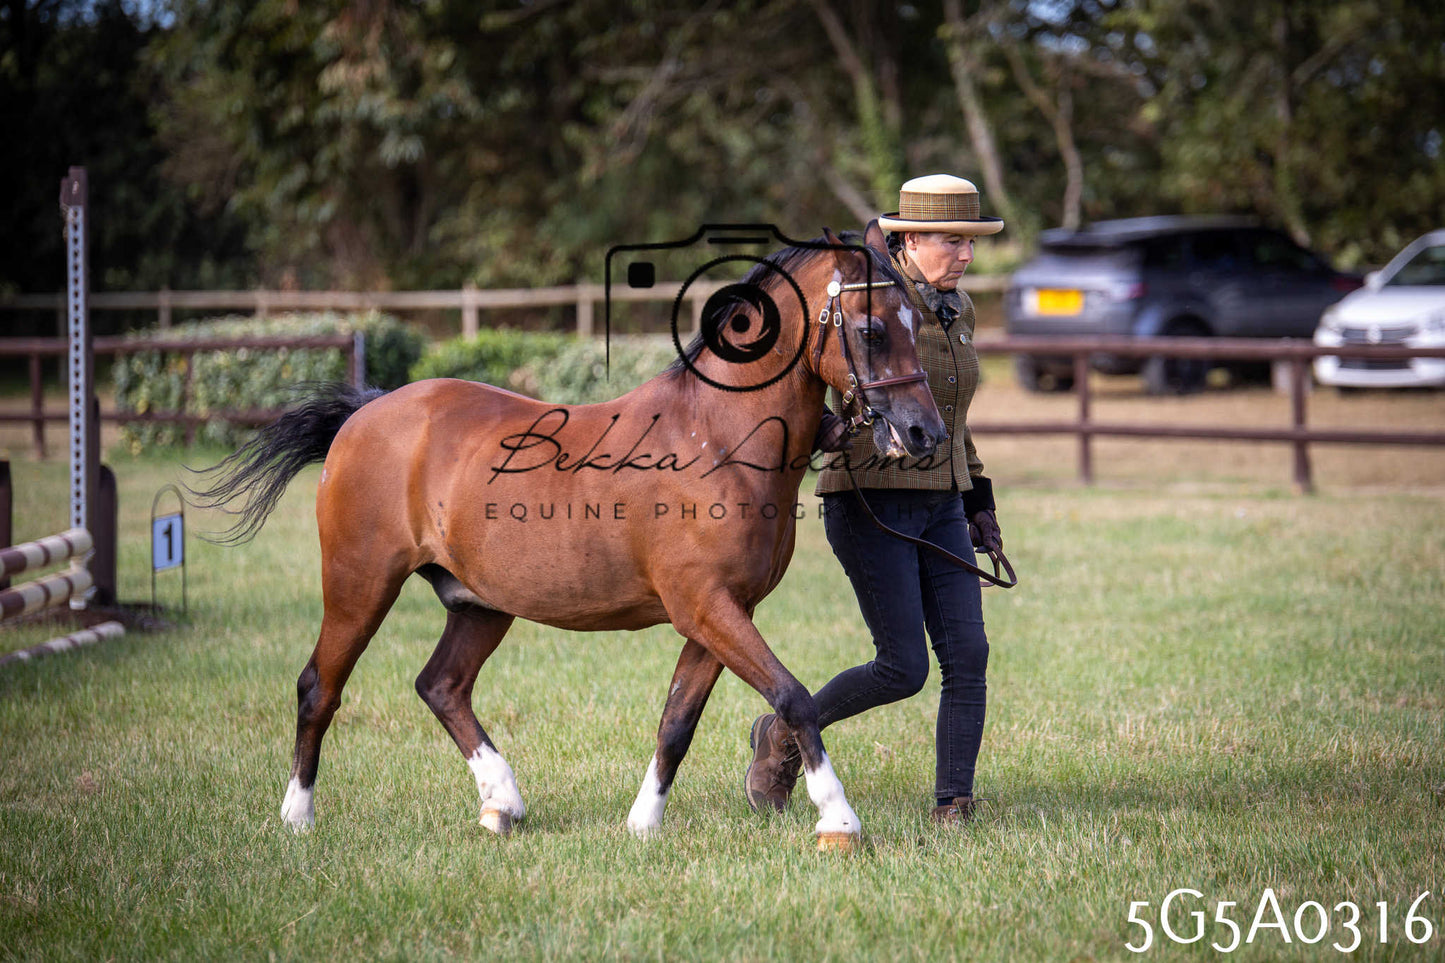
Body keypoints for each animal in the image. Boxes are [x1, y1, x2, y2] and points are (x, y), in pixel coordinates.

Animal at [191, 222, 946, 849]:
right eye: (872, 328)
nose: (923, 433)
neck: (718, 436)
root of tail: (366, 413)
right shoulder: (706, 606)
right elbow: (791, 697)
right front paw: (838, 819)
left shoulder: (720, 614)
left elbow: (677, 720)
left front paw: (642, 823)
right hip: (359, 584)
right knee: (319, 686)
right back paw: (298, 817)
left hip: (479, 603)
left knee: (441, 686)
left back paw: (502, 804)